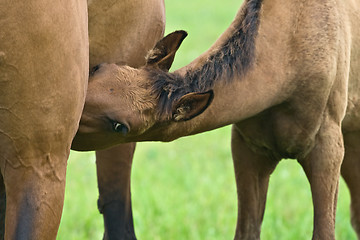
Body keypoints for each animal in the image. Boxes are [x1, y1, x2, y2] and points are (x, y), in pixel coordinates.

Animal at [73, 0, 360, 239]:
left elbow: (325, 232)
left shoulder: (327, 147)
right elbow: (246, 232)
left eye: (120, 126)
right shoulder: (248, 148)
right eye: (97, 68)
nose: (70, 126)